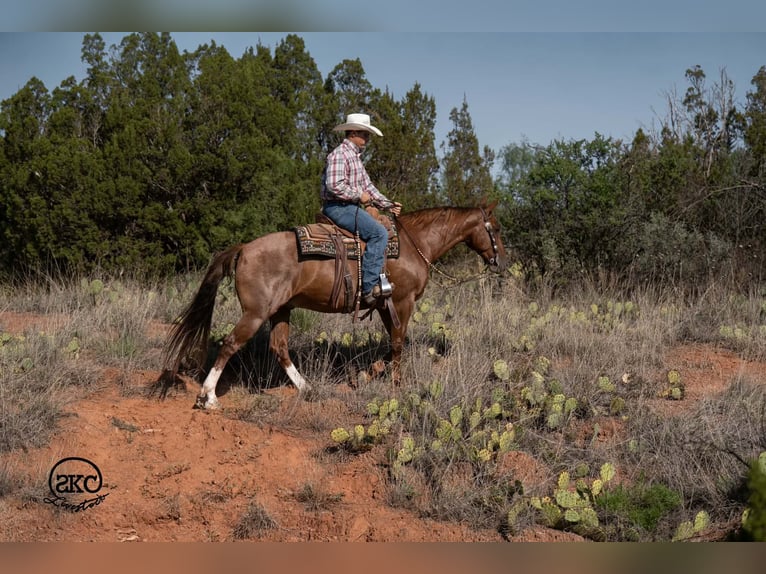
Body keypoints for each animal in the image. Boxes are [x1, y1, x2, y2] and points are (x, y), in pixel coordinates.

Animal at [159, 200, 508, 409]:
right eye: (496, 228)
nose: (501, 260)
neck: (415, 245)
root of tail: (244, 248)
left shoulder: (384, 305)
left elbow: (391, 345)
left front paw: (366, 375)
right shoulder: (401, 301)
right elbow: (398, 344)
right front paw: (396, 385)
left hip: (281, 310)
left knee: (279, 347)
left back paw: (306, 388)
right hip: (256, 312)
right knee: (232, 343)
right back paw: (208, 397)